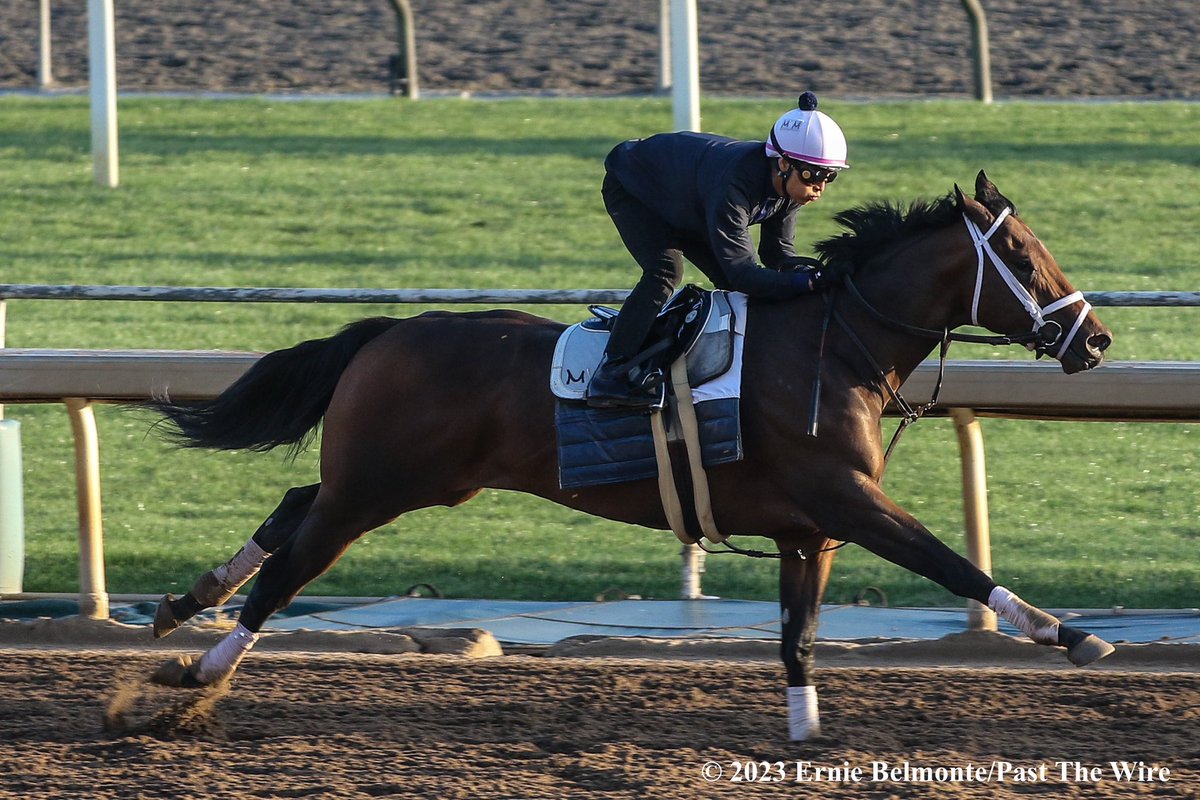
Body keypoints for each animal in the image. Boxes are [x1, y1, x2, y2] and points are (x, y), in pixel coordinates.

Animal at [142, 173, 1113, 743]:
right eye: (1020, 253)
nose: (1096, 340)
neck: (834, 347)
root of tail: (387, 333)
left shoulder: (809, 530)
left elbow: (799, 639)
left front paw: (804, 734)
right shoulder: (846, 502)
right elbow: (950, 562)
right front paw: (1067, 633)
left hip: (409, 481)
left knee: (292, 504)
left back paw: (185, 602)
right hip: (377, 489)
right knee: (291, 566)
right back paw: (198, 671)